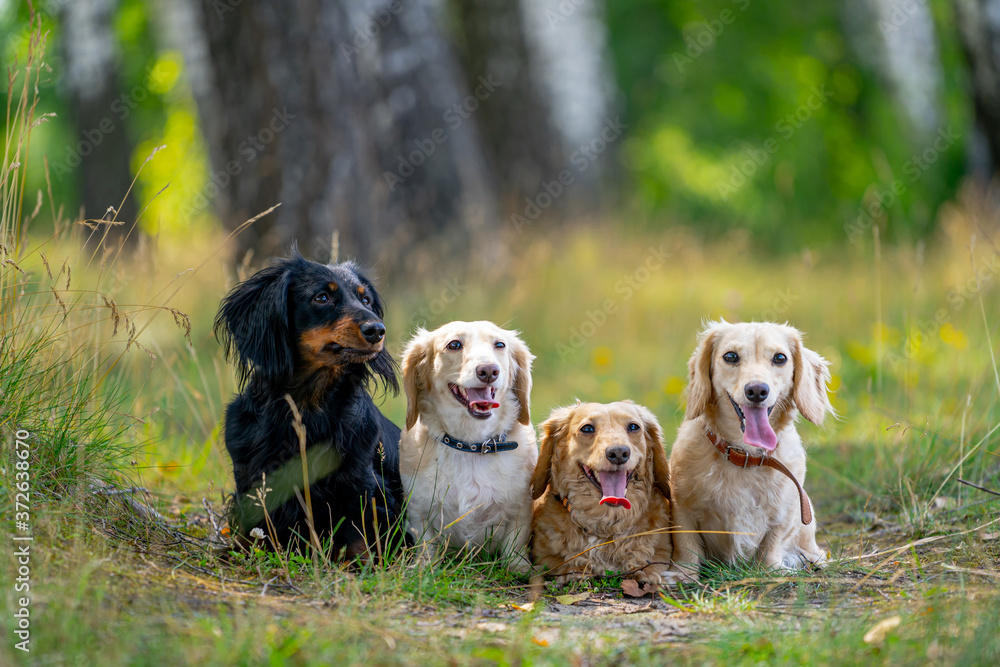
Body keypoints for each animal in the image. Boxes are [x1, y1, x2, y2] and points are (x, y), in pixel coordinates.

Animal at [400, 320, 540, 572]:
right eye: (454, 344)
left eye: (500, 344)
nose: (489, 371)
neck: (471, 444)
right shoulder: (419, 510)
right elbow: (426, 544)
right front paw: (423, 567)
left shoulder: (520, 509)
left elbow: (512, 546)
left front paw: (520, 568)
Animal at [532, 402, 672, 584]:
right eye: (587, 428)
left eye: (634, 427)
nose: (618, 453)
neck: (607, 522)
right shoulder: (543, 555)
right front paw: (574, 571)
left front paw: (647, 573)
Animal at [664, 320, 836, 580]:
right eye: (731, 356)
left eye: (780, 358)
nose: (756, 390)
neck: (745, 455)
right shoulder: (682, 507)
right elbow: (687, 546)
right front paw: (683, 575)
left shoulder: (784, 514)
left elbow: (770, 546)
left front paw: (771, 570)